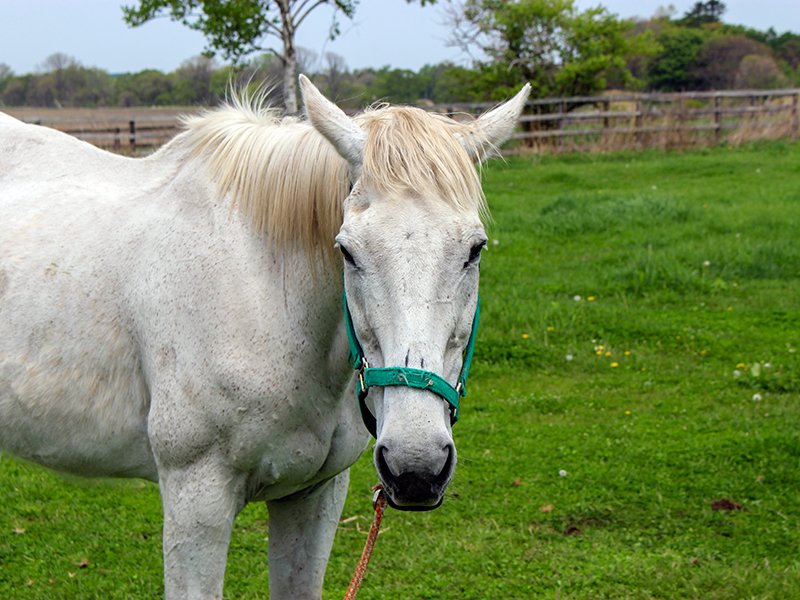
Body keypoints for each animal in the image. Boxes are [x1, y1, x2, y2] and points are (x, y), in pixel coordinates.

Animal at [0, 75, 530, 599]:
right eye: (347, 251)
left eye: (475, 249)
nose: (415, 467)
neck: (267, 295)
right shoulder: (196, 500)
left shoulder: (315, 496)